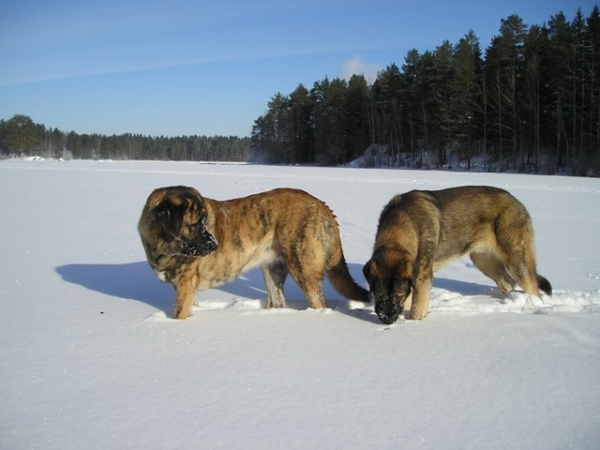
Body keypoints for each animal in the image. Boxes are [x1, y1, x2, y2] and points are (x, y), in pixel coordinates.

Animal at [138, 186, 368, 320]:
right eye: (196, 224)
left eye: (205, 221)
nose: (215, 245)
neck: (162, 243)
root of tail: (321, 204)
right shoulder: (187, 288)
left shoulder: (185, 285)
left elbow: (179, 314)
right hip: (272, 270)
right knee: (278, 300)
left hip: (304, 269)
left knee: (319, 302)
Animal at [360, 185, 552, 326]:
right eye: (378, 295)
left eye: (398, 296)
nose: (387, 320)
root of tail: (516, 201)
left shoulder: (422, 277)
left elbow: (416, 308)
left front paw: (412, 323)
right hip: (483, 261)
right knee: (508, 283)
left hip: (516, 261)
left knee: (533, 288)